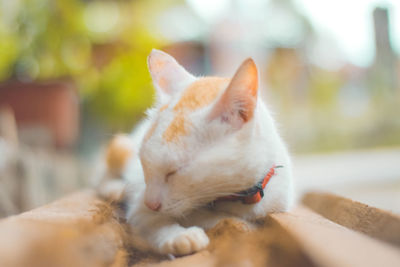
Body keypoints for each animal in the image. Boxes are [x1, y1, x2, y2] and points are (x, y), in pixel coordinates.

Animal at [99, 49, 294, 256]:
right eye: (144, 164)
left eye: (174, 172)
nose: (151, 203)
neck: (235, 197)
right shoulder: (139, 208)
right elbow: (154, 222)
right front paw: (180, 236)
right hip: (121, 147)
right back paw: (115, 188)